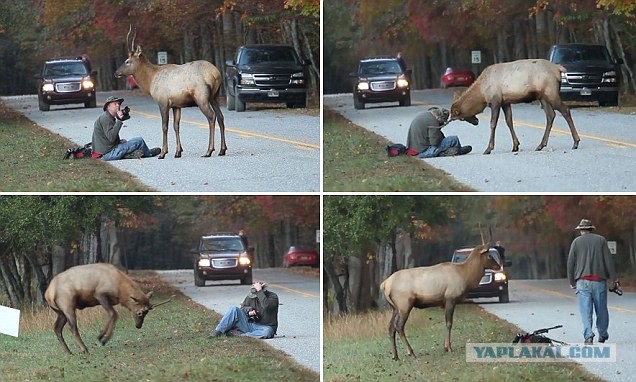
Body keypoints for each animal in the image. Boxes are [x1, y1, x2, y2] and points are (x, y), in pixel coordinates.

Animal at [115, 26, 227, 158]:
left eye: (127, 61)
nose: (116, 72)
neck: (150, 81)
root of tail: (215, 74)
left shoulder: (163, 102)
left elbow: (164, 126)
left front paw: (163, 152)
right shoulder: (176, 105)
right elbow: (176, 126)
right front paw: (178, 152)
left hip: (201, 97)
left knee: (211, 116)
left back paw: (209, 150)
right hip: (215, 96)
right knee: (220, 116)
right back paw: (222, 150)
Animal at [448, 59, 580, 154]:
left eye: (461, 117)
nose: (476, 122)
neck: (482, 94)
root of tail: (558, 69)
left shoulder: (495, 101)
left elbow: (493, 124)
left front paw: (489, 148)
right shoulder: (505, 102)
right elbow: (509, 121)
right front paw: (515, 146)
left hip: (551, 92)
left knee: (565, 110)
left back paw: (576, 142)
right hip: (543, 97)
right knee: (550, 115)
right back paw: (541, 145)